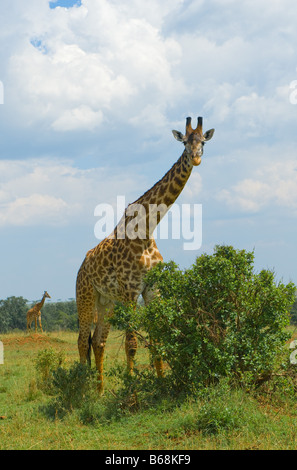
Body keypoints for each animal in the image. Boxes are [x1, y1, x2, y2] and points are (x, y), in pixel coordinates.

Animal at [75, 115, 213, 392]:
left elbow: (157, 341)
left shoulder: (152, 290)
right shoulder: (130, 291)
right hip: (85, 296)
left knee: (98, 342)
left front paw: (161, 386)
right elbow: (131, 344)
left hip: (106, 302)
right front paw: (131, 388)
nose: (195, 158)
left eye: (203, 142)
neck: (147, 228)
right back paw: (81, 390)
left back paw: (100, 391)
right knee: (83, 340)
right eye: (184, 142)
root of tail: (81, 267)